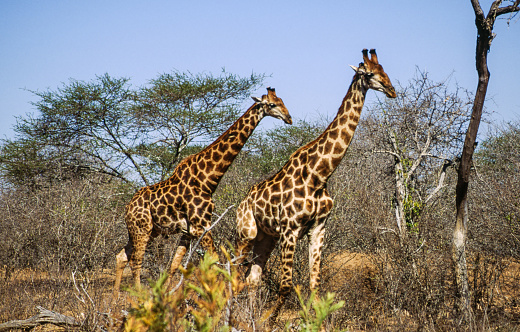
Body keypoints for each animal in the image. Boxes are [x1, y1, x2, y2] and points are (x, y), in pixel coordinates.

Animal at [112, 87, 292, 298]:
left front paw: (168, 296)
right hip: (143, 228)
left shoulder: (189, 230)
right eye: (272, 104)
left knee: (122, 256)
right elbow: (213, 261)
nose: (289, 118)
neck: (207, 180)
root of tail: (127, 207)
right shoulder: (202, 225)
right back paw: (139, 296)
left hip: (143, 230)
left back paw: (113, 301)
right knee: (136, 261)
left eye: (282, 101)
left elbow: (174, 265)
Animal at [234, 48, 396, 320]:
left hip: (266, 238)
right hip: (246, 233)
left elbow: (314, 282)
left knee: (252, 277)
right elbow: (286, 285)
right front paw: (270, 320)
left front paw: (312, 320)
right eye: (369, 73)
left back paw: (249, 318)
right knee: (233, 273)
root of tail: (242, 202)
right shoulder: (290, 229)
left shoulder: (318, 228)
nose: (392, 90)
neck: (319, 175)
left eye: (385, 70)